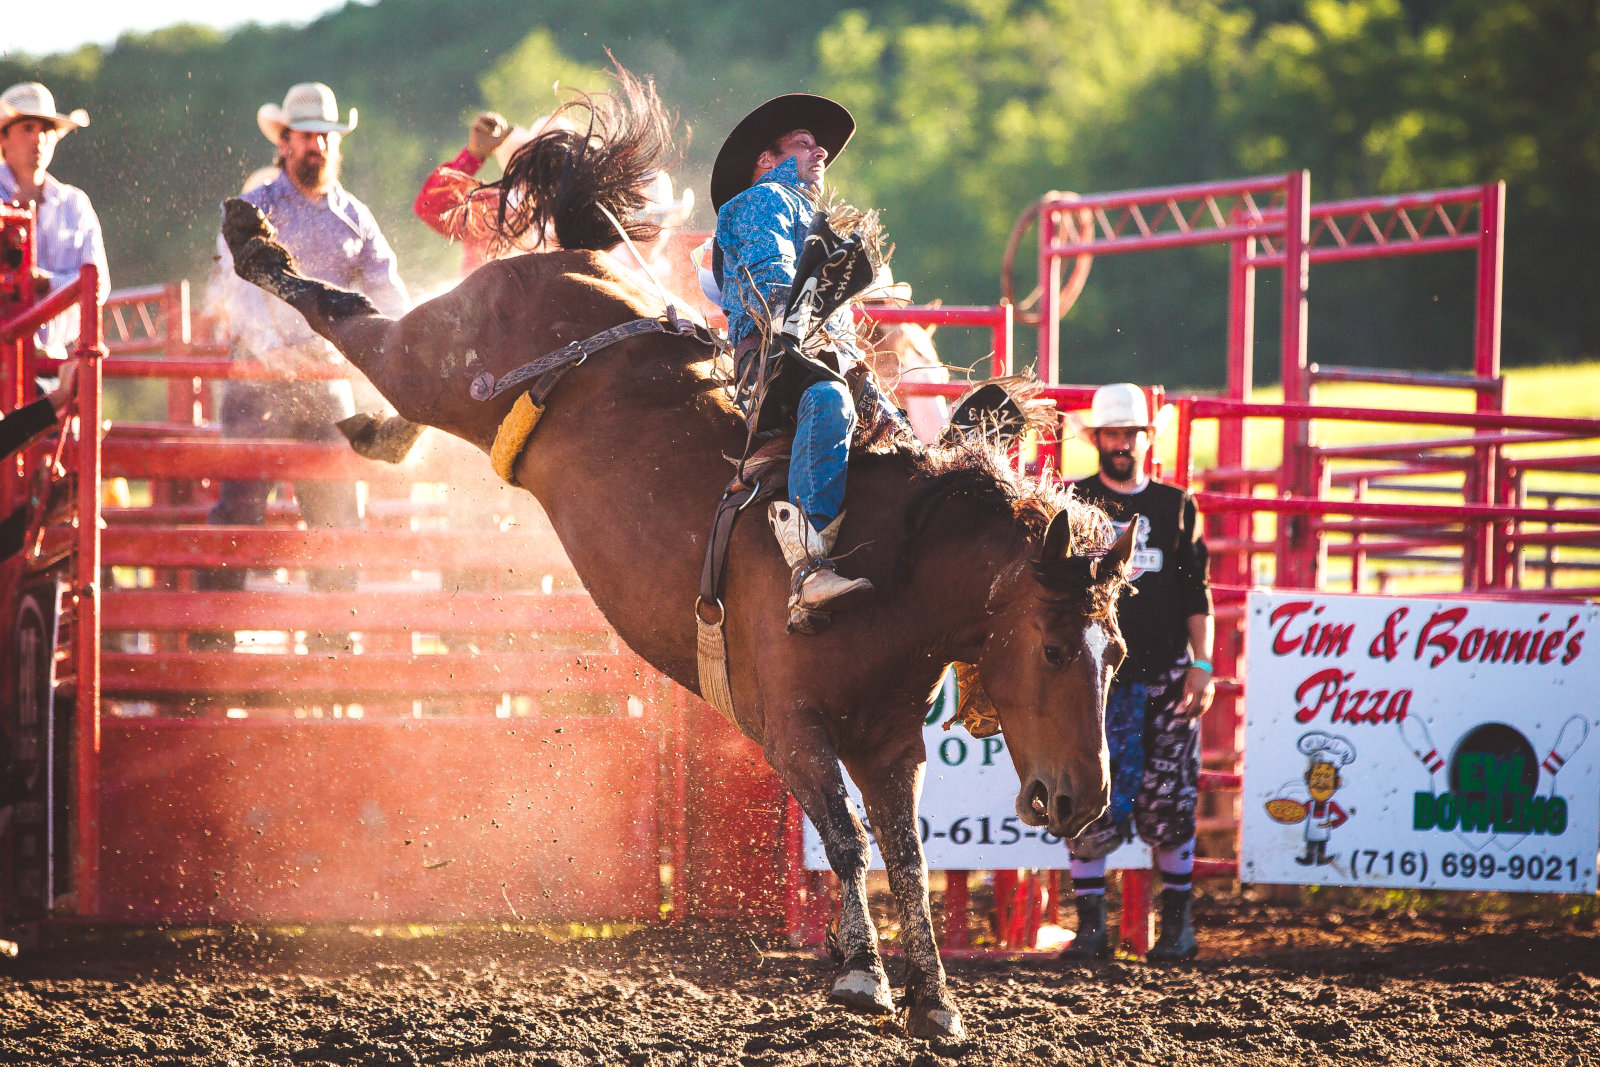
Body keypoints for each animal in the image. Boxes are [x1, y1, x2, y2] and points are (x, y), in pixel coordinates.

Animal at [222, 75, 1126, 1043]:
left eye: (1119, 655)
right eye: (1054, 648)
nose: (1083, 801)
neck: (896, 564)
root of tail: (585, 259)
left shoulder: (891, 743)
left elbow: (906, 857)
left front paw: (936, 1001)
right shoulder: (791, 727)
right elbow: (846, 837)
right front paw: (861, 976)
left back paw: (374, 430)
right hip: (435, 354)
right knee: (352, 317)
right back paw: (252, 238)